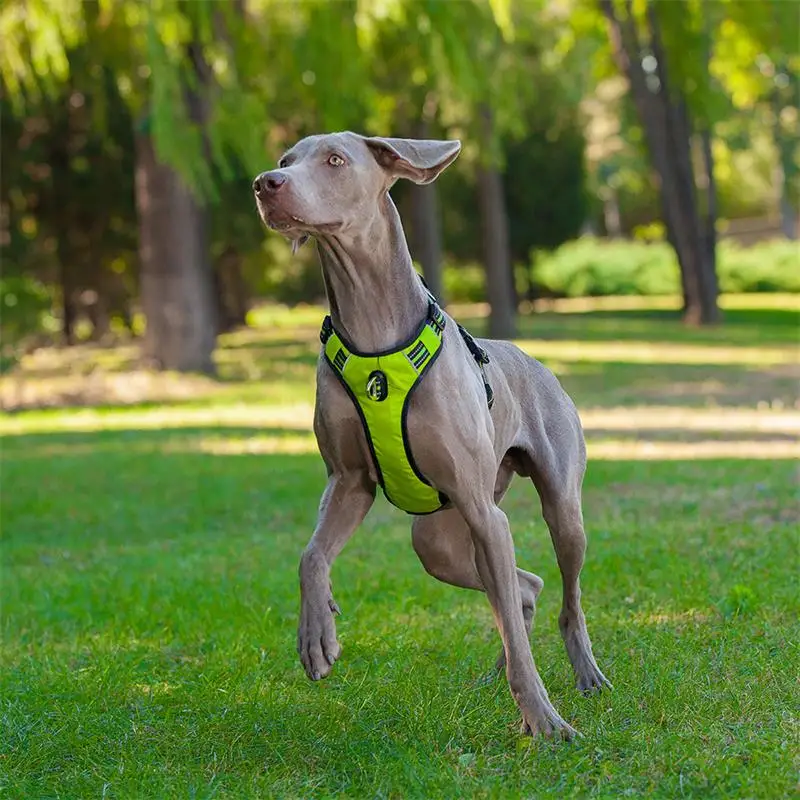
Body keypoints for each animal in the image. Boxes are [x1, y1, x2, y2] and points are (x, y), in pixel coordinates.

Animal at [253, 131, 608, 736]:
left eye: (335, 160)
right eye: (284, 161)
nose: (264, 184)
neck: (373, 334)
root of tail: (538, 362)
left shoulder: (483, 510)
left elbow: (521, 630)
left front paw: (544, 722)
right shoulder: (348, 481)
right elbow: (311, 555)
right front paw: (317, 634)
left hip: (552, 508)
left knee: (566, 596)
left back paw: (584, 673)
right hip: (439, 539)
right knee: (523, 590)